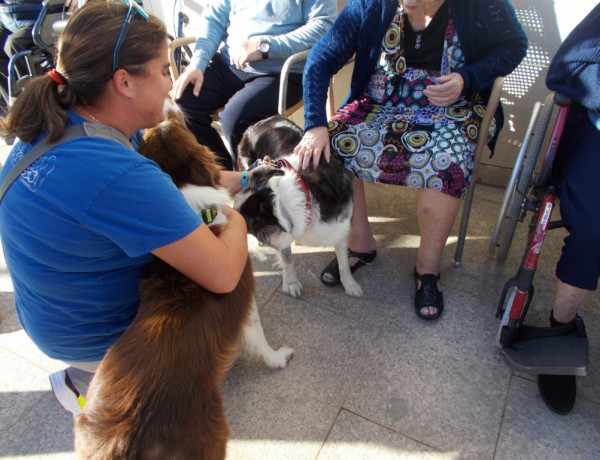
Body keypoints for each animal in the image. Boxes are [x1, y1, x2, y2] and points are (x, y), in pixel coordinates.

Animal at [74, 99, 294, 458]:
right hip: (210, 436)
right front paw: (277, 358)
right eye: (175, 124)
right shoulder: (242, 294)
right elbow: (259, 337)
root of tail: (123, 441)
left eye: (157, 129)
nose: (169, 100)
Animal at [234, 116, 364, 298]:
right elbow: (287, 257)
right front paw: (291, 283)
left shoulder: (341, 225)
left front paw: (350, 284)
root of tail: (257, 123)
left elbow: (344, 262)